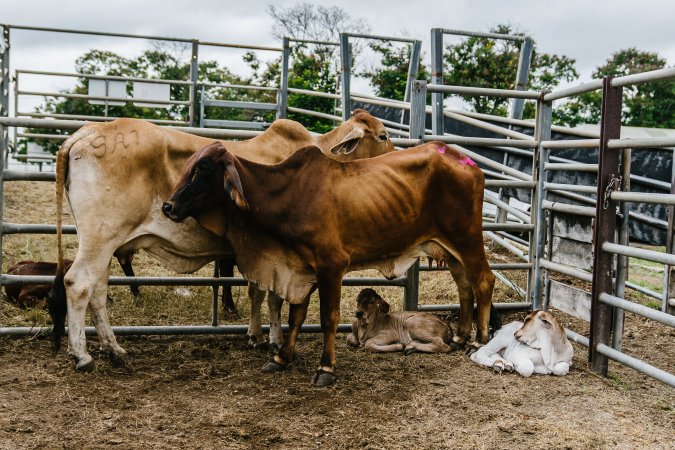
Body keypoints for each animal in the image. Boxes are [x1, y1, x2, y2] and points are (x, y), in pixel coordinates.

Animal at [51, 110, 396, 370]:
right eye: (382, 135)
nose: (395, 162)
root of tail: (86, 133)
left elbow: (258, 292)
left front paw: (256, 335)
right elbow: (274, 297)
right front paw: (274, 341)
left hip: (104, 245)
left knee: (97, 291)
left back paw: (114, 350)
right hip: (101, 238)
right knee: (78, 284)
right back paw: (83, 355)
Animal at [162, 142, 496, 386]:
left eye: (202, 170)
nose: (168, 206)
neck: (285, 195)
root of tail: (465, 161)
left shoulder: (331, 266)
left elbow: (328, 318)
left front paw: (325, 368)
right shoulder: (299, 269)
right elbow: (295, 316)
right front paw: (282, 357)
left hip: (466, 238)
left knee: (483, 281)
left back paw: (479, 341)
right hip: (450, 248)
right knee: (463, 285)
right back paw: (460, 335)